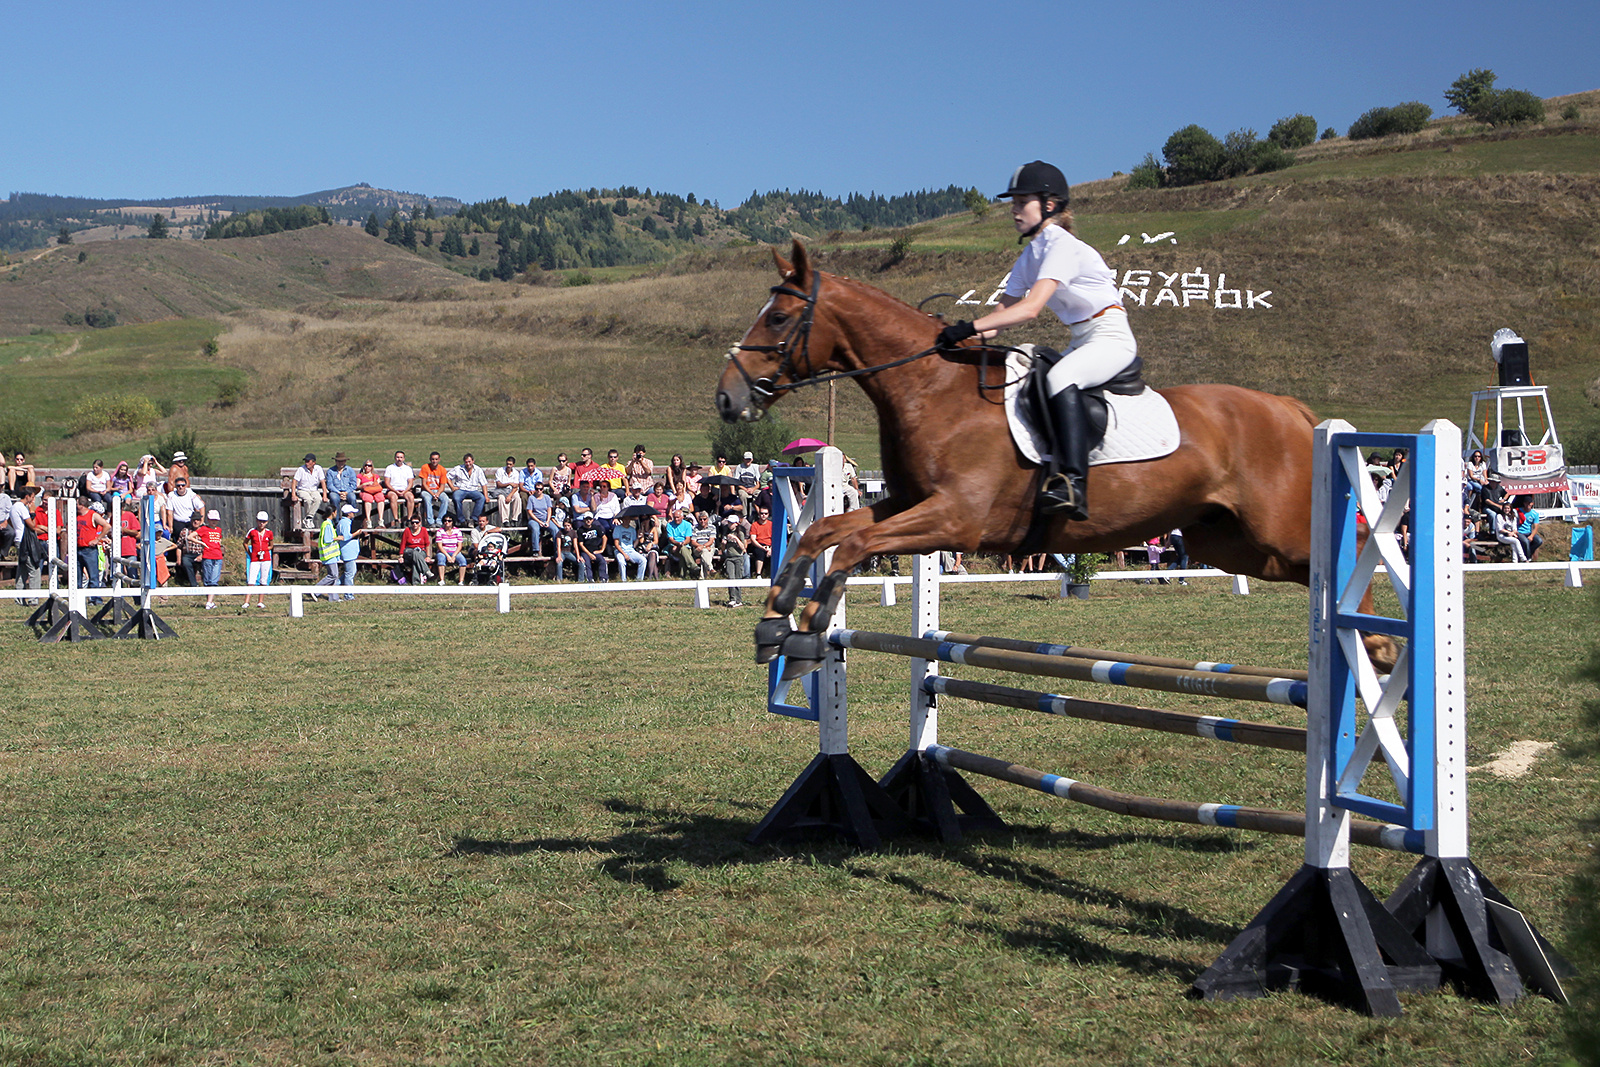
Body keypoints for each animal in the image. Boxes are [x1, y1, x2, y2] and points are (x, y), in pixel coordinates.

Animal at [720, 238, 1395, 681]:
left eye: (778, 317)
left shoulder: (956, 520)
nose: (728, 398)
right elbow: (825, 531)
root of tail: (1290, 411)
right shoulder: (910, 503)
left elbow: (855, 545)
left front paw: (809, 627)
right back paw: (1377, 650)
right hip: (1233, 543)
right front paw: (776, 616)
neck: (933, 388)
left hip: (1276, 529)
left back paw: (1382, 649)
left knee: (1354, 549)